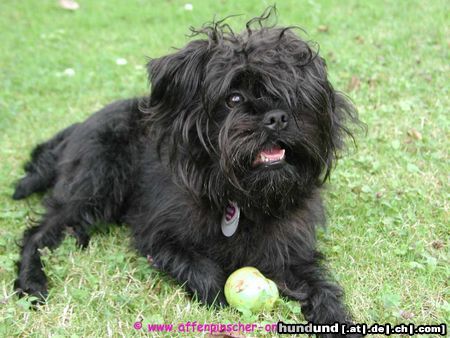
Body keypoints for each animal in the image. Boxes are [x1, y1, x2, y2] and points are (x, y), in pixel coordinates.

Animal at [13, 7, 358, 336]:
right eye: (233, 98)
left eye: (292, 94)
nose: (275, 117)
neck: (242, 196)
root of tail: (76, 128)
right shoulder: (156, 237)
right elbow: (201, 269)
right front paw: (219, 295)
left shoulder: (290, 251)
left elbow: (317, 283)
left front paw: (335, 317)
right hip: (96, 183)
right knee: (38, 233)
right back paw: (31, 282)